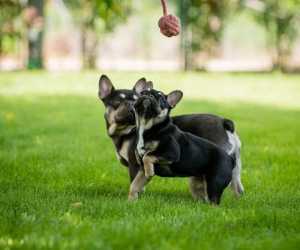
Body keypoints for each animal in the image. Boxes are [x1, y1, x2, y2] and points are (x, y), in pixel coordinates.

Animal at [98, 75, 244, 200]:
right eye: (117, 102)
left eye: (134, 98)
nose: (130, 104)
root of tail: (224, 123)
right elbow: (136, 183)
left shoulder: (135, 165)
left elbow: (136, 180)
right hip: (233, 167)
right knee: (237, 188)